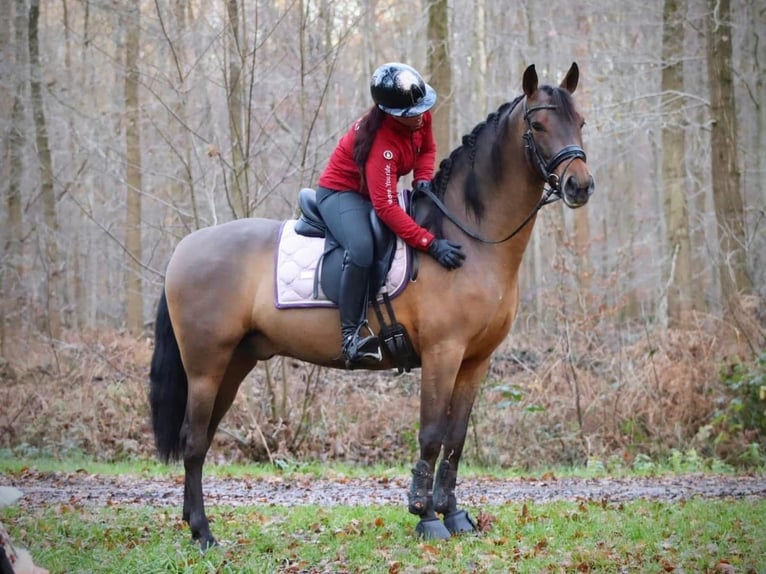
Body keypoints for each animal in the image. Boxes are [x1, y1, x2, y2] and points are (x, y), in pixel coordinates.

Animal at [149, 62, 594, 548]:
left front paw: (454, 515)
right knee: (194, 441)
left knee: (202, 438)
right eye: (538, 126)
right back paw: (204, 534)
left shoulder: (476, 361)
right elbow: (432, 435)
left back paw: (194, 524)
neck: (468, 235)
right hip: (206, 366)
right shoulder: (442, 353)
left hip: (235, 362)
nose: (580, 185)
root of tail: (184, 249)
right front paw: (426, 517)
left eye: (580, 122)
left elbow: (456, 439)